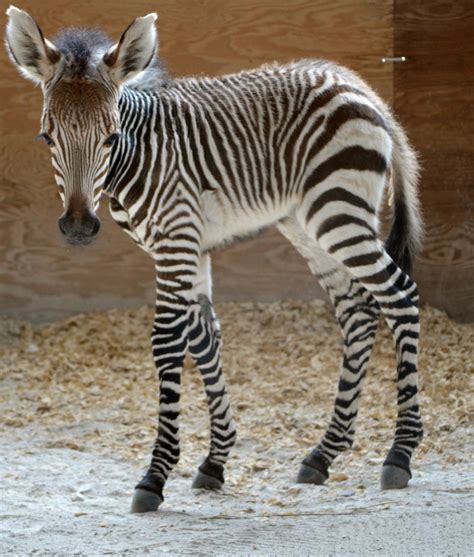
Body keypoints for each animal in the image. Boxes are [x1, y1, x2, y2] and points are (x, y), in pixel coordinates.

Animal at [6, 6, 422, 510]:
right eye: (47, 138)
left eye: (110, 137)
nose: (80, 227)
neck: (140, 155)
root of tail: (359, 86)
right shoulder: (191, 245)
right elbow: (205, 339)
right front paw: (215, 460)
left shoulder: (176, 241)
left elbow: (168, 342)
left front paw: (156, 475)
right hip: (308, 224)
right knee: (358, 311)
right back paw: (324, 453)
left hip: (338, 212)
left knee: (399, 295)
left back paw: (400, 453)